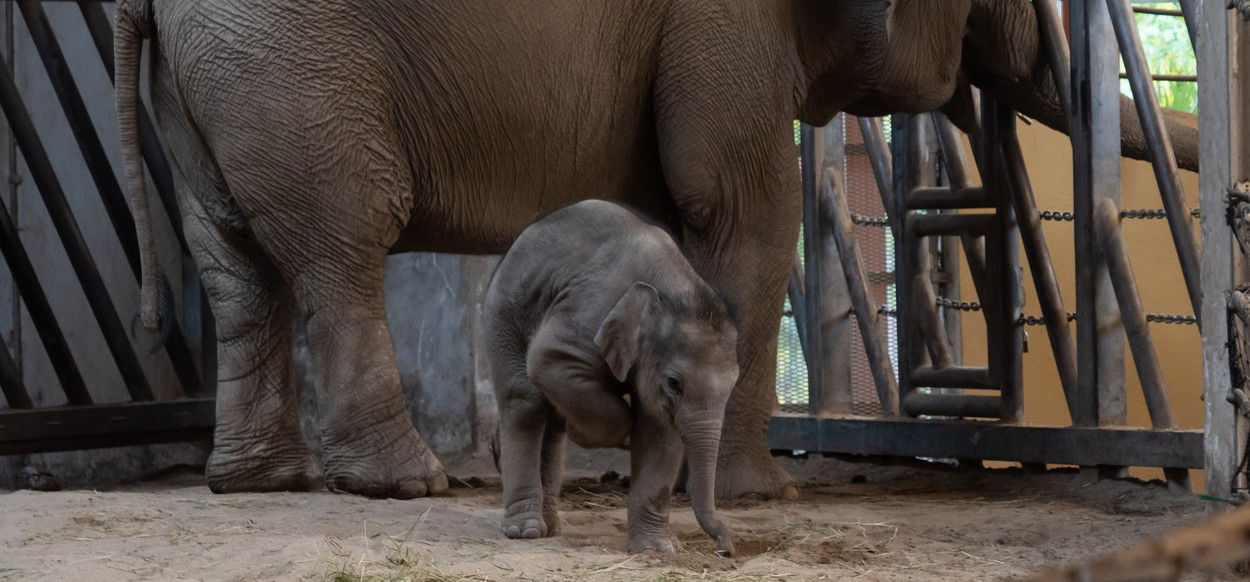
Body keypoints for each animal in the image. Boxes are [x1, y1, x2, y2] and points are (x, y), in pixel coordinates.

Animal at [117, 0, 1200, 499]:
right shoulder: (725, 22)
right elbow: (742, 212)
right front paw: (756, 495)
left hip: (215, 81)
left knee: (235, 266)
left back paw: (261, 480)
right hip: (293, 68)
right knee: (342, 243)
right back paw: (406, 481)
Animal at [482, 199, 735, 554]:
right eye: (674, 383)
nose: (726, 549)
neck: (670, 283)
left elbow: (660, 430)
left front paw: (659, 550)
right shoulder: (590, 312)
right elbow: (547, 356)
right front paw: (614, 431)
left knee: (550, 424)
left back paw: (550, 527)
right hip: (503, 314)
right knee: (525, 402)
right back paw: (526, 531)